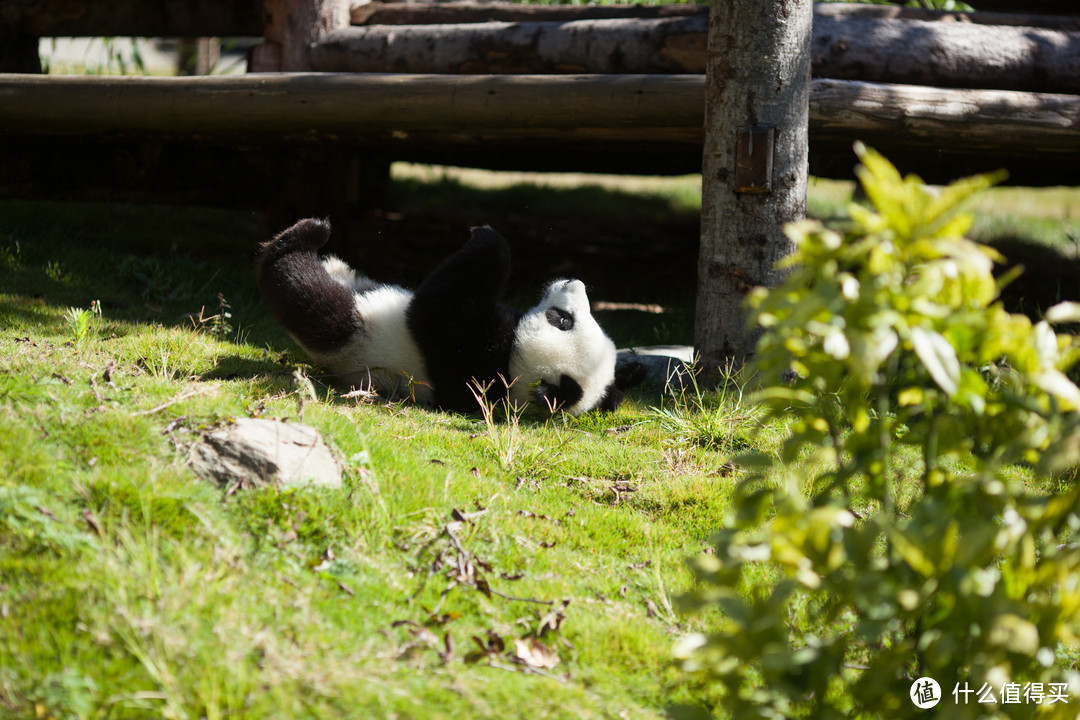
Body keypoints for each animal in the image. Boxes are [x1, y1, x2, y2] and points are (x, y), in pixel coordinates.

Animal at [255, 216, 635, 414]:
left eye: (562, 320)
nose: (574, 281)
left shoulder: (471, 354)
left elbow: (438, 304)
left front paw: (485, 236)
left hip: (352, 331)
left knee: (306, 294)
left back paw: (305, 236)